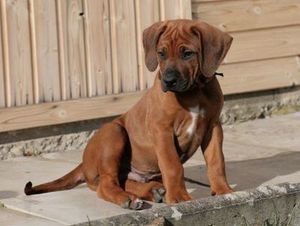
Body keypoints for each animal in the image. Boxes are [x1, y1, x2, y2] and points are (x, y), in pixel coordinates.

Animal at [24, 19, 233, 210]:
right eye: (161, 53)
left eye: (188, 54)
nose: (168, 81)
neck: (194, 90)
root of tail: (83, 163)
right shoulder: (162, 129)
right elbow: (172, 165)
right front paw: (179, 197)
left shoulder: (213, 126)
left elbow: (217, 161)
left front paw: (223, 190)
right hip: (114, 133)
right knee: (106, 183)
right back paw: (129, 198)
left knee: (124, 180)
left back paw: (152, 191)